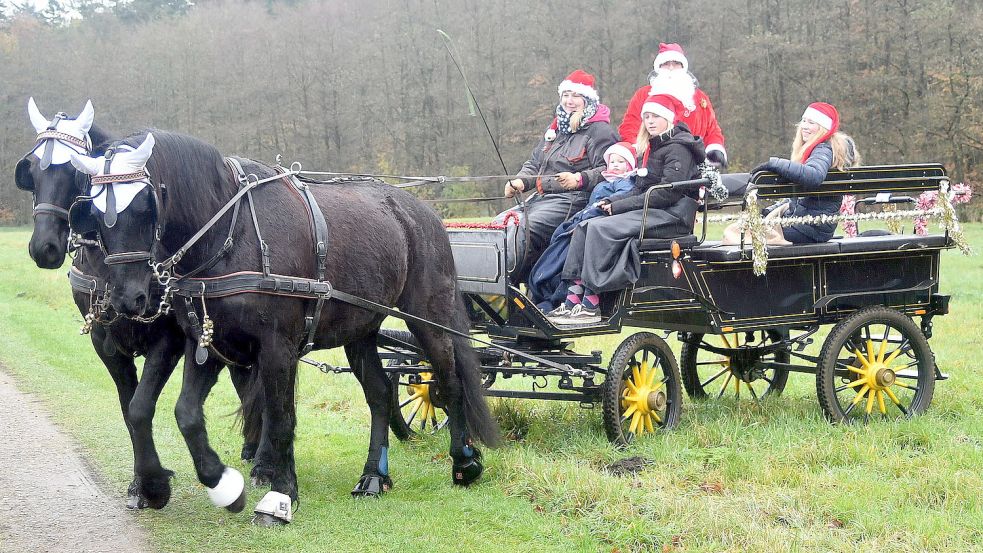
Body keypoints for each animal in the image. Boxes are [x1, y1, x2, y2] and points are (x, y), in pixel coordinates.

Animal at [17, 100, 268, 508]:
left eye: (73, 172)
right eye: (33, 169)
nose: (45, 248)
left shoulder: (168, 339)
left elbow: (139, 408)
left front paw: (155, 484)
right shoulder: (105, 343)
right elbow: (127, 407)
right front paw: (141, 482)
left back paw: (262, 459)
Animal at [71, 130, 500, 528]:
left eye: (145, 203)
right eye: (92, 209)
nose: (128, 297)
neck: (230, 233)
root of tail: (421, 212)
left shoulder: (277, 347)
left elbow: (280, 419)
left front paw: (280, 497)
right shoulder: (207, 340)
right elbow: (187, 414)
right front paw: (222, 486)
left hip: (428, 315)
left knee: (448, 381)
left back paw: (464, 461)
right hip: (361, 329)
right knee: (379, 394)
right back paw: (374, 477)